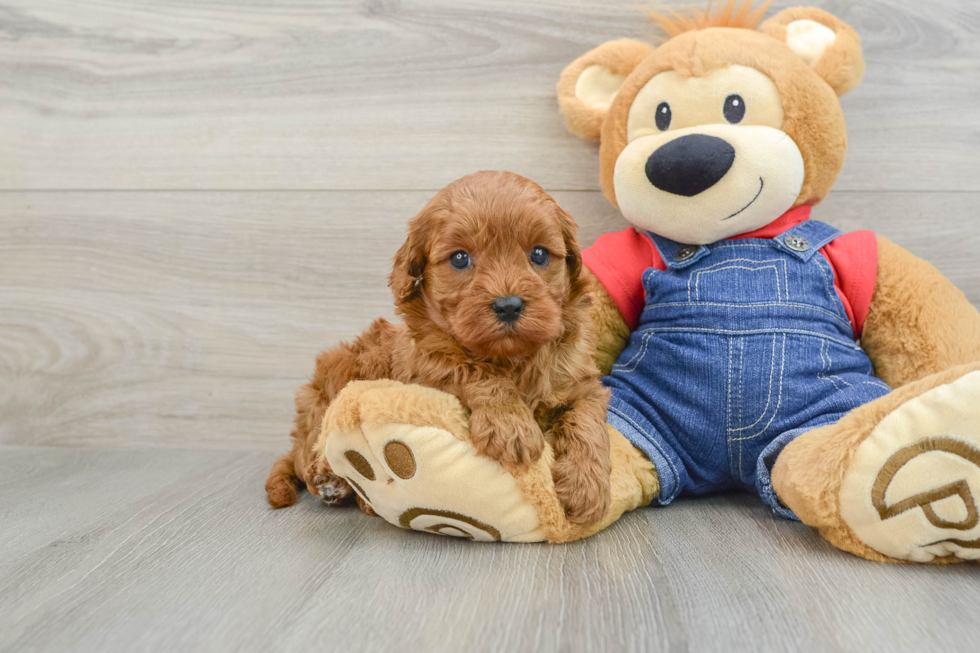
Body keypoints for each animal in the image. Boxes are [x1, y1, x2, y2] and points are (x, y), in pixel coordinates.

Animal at [264, 169, 608, 524]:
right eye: (460, 258)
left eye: (539, 254)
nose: (508, 305)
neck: (510, 358)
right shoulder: (428, 365)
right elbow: (475, 372)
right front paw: (512, 426)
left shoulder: (581, 382)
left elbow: (587, 420)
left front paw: (588, 488)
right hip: (343, 373)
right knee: (310, 450)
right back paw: (333, 481)